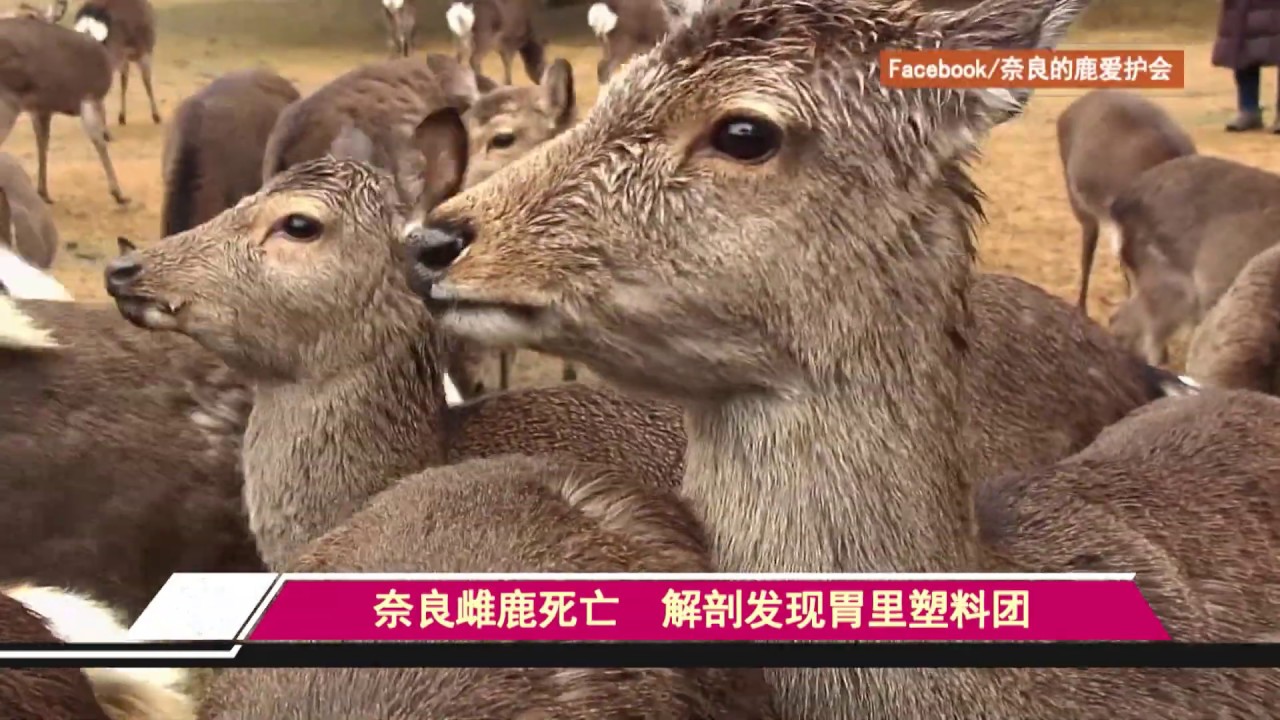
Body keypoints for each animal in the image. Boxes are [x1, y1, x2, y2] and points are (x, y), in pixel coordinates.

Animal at [0, 14, 127, 204]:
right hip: (7, 105)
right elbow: (99, 142)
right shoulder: (88, 99)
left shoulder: (41, 110)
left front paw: (43, 193)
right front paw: (118, 193)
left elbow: (42, 143)